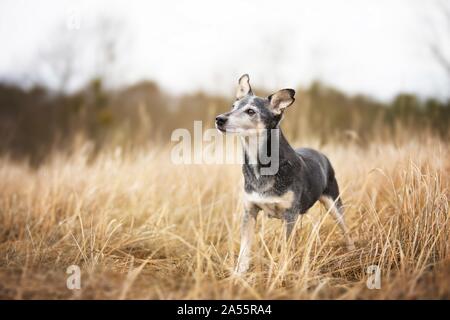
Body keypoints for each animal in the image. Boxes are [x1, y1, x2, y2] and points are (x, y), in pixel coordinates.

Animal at [215, 74, 356, 274]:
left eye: (251, 111)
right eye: (233, 106)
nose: (219, 119)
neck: (262, 167)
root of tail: (321, 154)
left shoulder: (290, 214)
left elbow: (285, 248)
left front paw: (282, 271)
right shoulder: (250, 211)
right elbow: (244, 248)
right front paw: (239, 273)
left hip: (333, 203)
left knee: (345, 229)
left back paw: (352, 252)